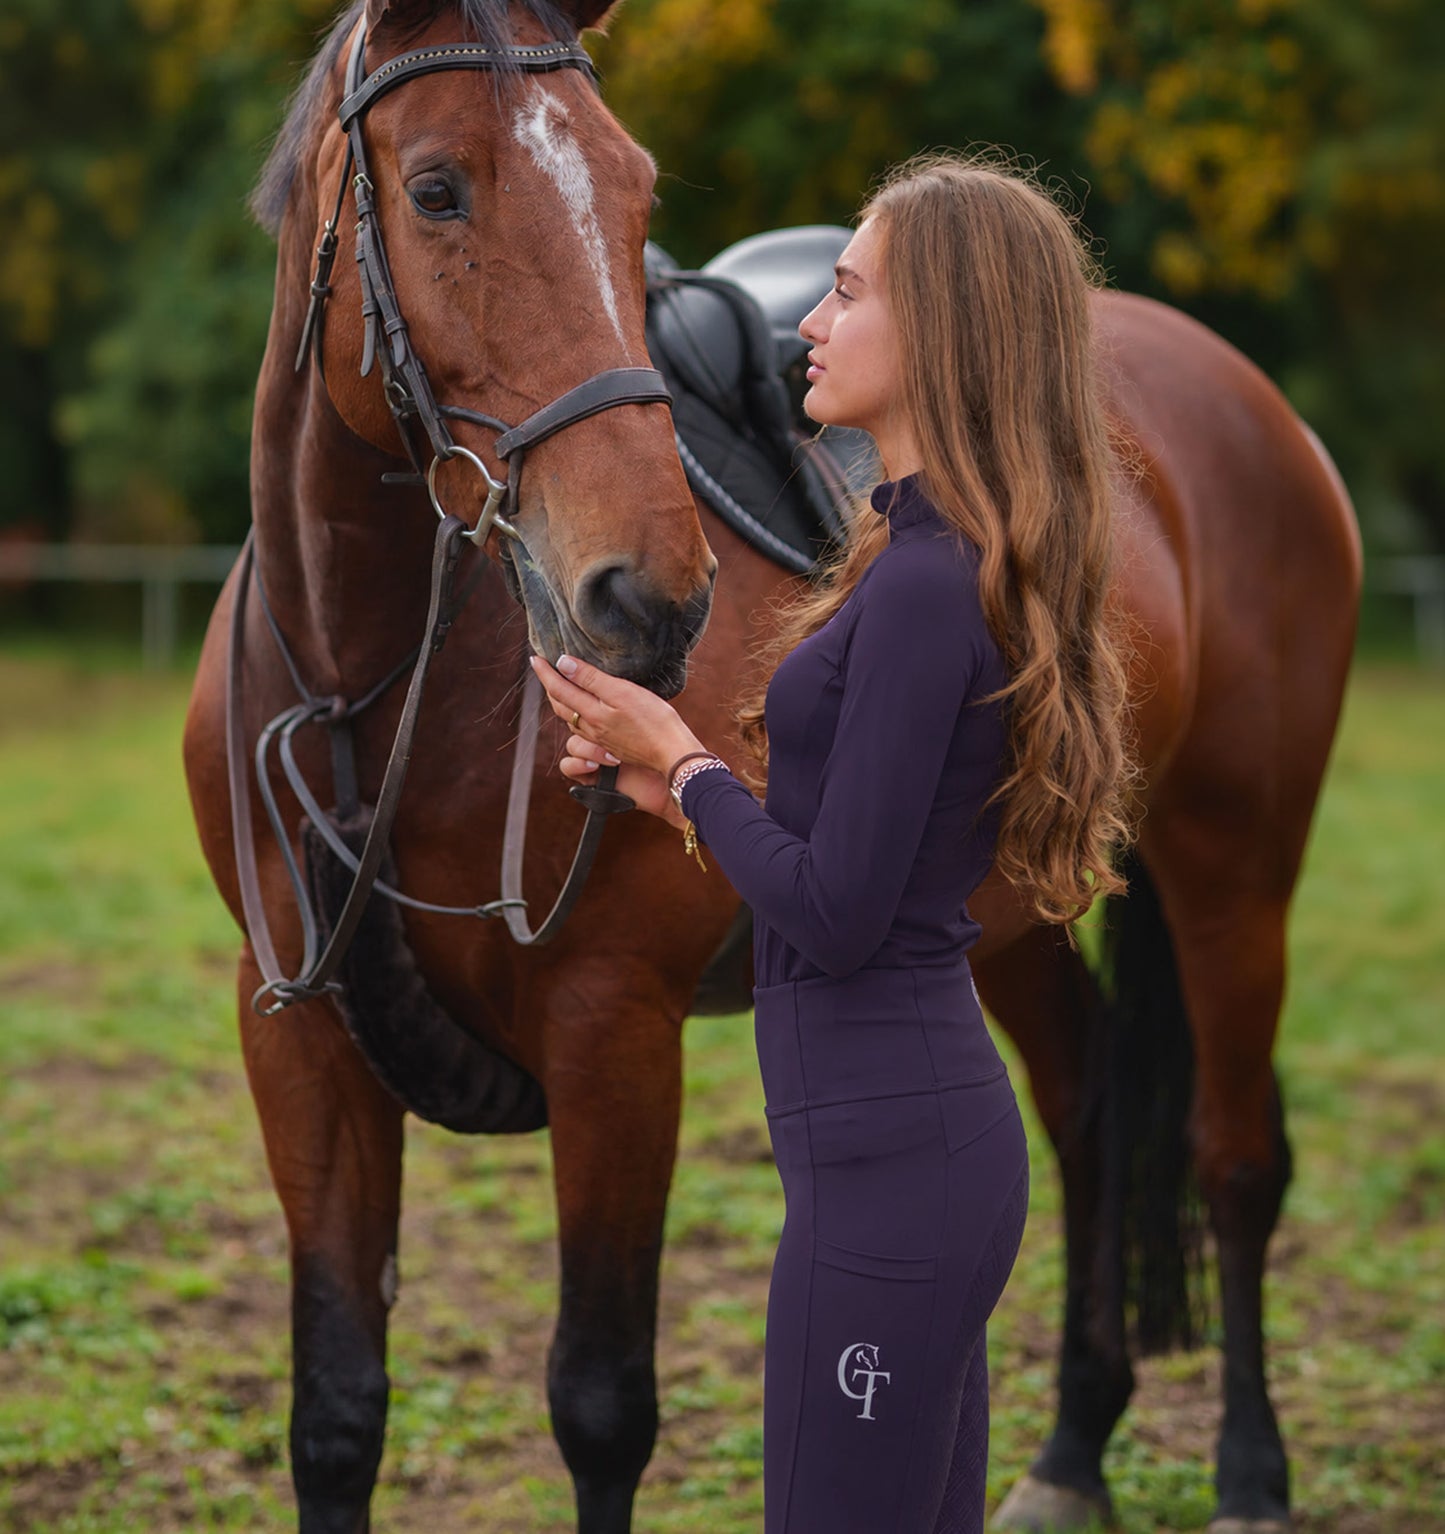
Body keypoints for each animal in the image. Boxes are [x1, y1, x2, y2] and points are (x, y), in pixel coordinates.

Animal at [182, 5, 1361, 1534]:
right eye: (436, 190)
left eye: (637, 194)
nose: (644, 596)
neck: (368, 676)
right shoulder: (295, 1031)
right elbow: (334, 1411)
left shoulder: (614, 1028)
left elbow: (601, 1405)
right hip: (1007, 922)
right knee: (1090, 1107)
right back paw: (1068, 1450)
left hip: (1235, 870)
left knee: (1233, 1158)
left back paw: (1249, 1470)